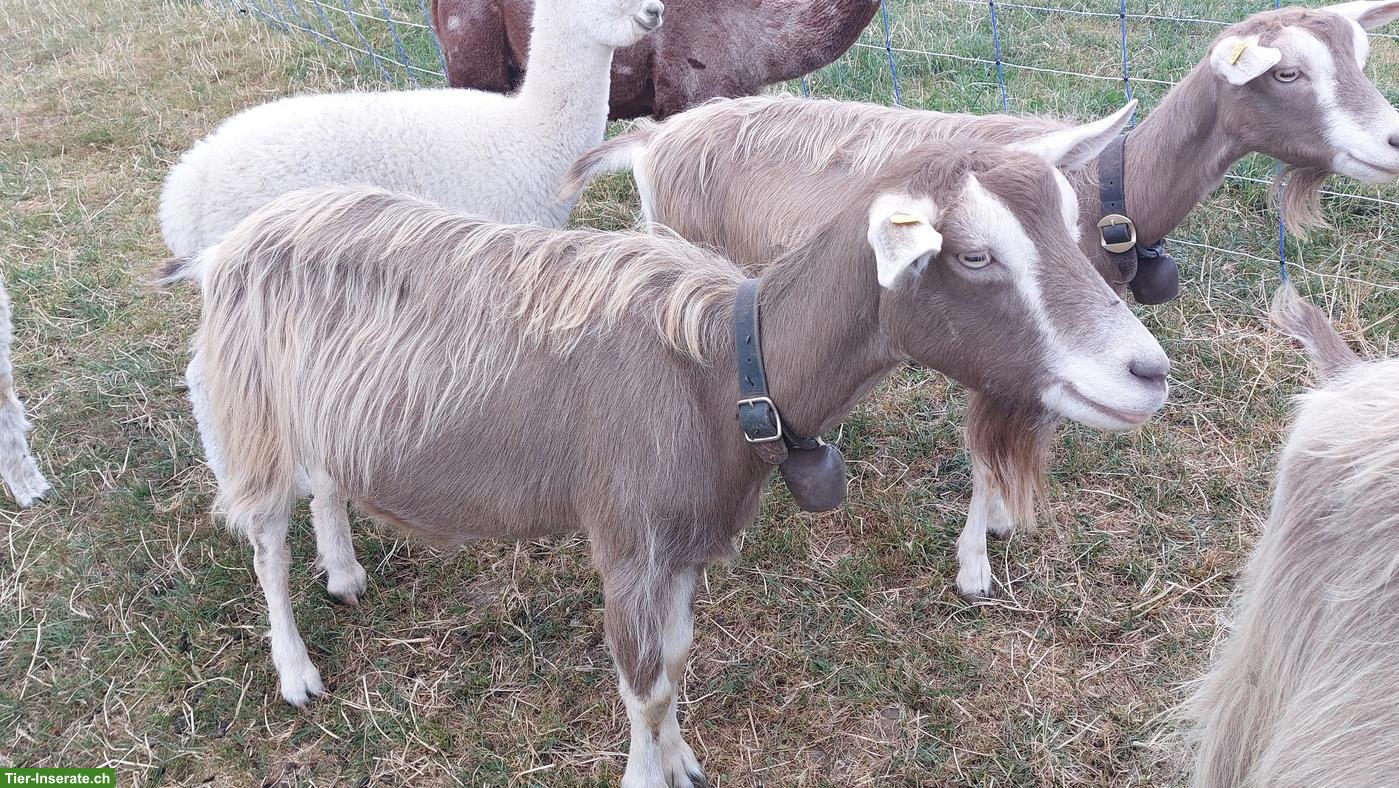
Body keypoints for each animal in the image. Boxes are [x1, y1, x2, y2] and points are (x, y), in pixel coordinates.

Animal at [166, 128, 1167, 785]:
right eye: (972, 255)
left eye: (1070, 226)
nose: (1148, 371)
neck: (728, 371)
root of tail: (227, 246)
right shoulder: (631, 545)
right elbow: (643, 686)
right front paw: (651, 772)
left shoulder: (684, 546)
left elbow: (677, 666)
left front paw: (681, 757)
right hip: (246, 407)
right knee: (265, 539)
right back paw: (295, 670)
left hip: (323, 408)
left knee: (326, 484)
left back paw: (343, 573)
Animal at [563, 0, 1399, 599]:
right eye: (1286, 75)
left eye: (1358, 60)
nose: (1393, 141)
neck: (1108, 189)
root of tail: (651, 143)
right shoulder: (991, 336)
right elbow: (978, 447)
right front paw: (974, 564)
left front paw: (995, 521)